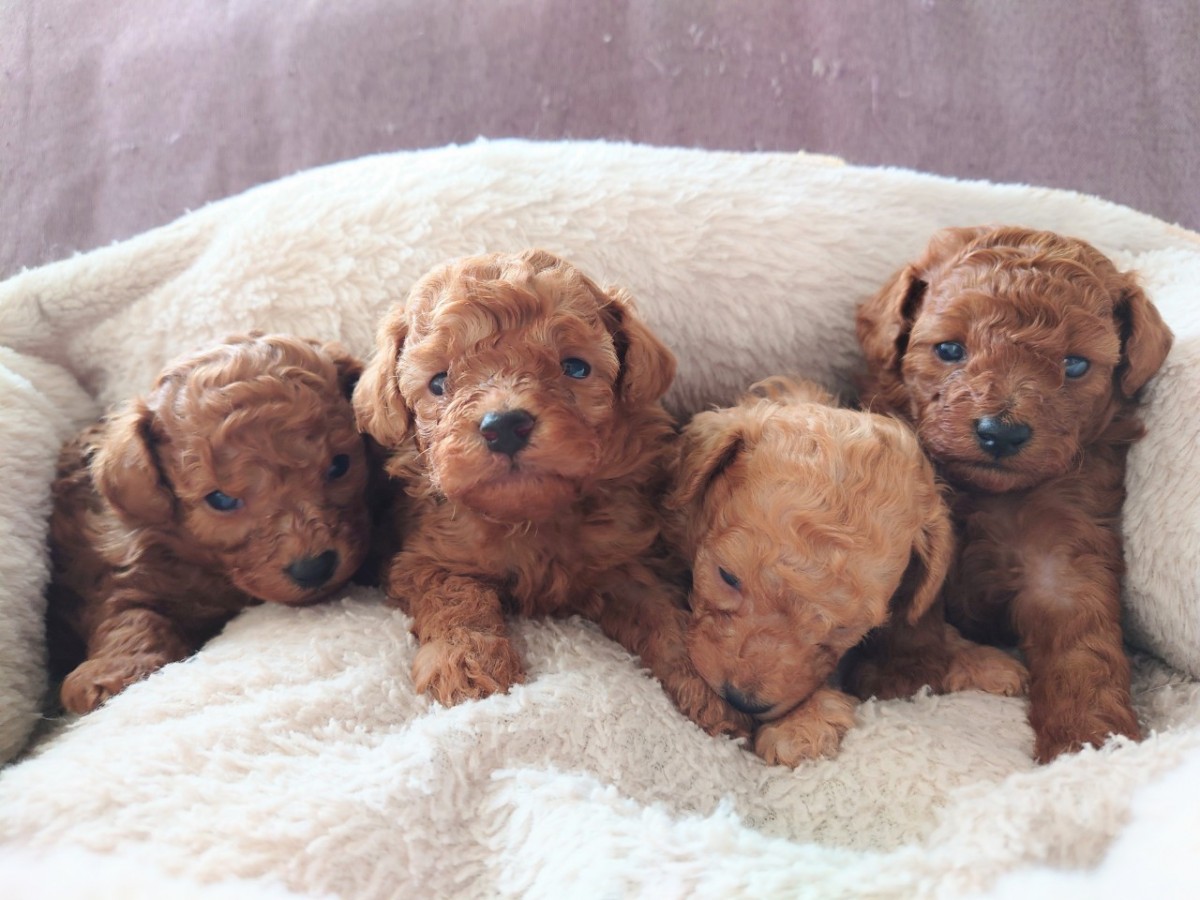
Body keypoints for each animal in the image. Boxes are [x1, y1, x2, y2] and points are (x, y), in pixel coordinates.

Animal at [46, 333, 375, 714]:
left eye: (340, 465)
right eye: (221, 500)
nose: (314, 568)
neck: (209, 564)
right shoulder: (117, 570)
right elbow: (130, 613)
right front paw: (111, 675)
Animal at [353, 249, 752, 736]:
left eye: (575, 367)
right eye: (438, 382)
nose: (505, 425)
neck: (533, 516)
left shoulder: (627, 562)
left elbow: (663, 615)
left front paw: (702, 682)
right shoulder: (427, 558)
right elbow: (457, 600)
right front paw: (466, 664)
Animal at [856, 225, 1174, 762]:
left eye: (1075, 364)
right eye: (949, 350)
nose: (1000, 433)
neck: (984, 493)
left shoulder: (1065, 553)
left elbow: (1081, 648)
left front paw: (1089, 739)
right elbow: (911, 607)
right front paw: (905, 675)